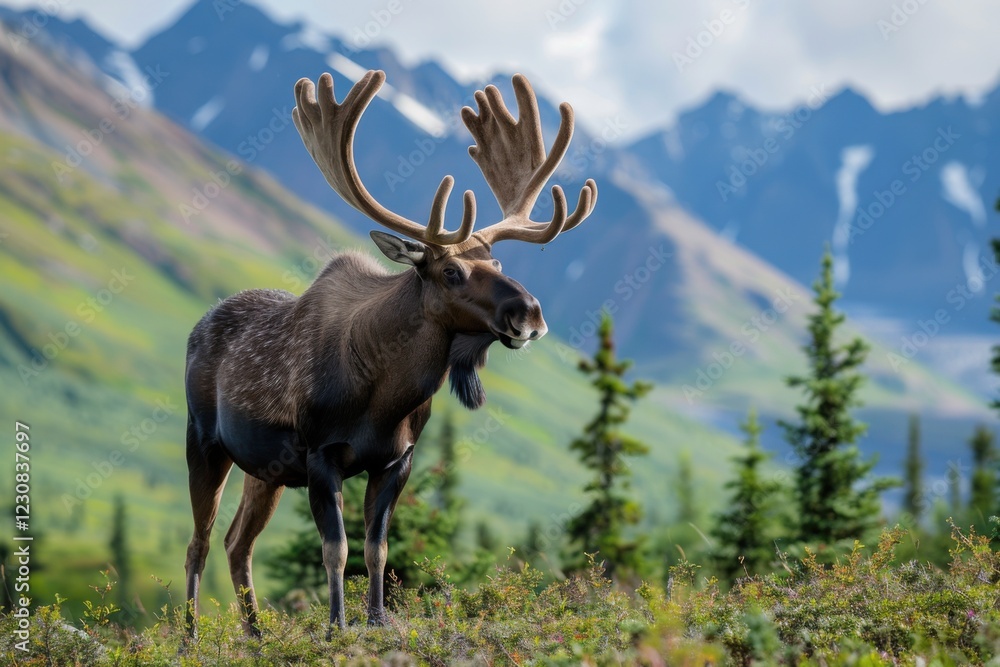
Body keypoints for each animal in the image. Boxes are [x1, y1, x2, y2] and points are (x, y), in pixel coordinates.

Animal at [182, 69, 598, 640]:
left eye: (497, 261)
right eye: (451, 271)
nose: (530, 314)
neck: (384, 398)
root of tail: (196, 328)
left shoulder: (398, 459)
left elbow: (376, 549)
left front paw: (377, 621)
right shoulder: (320, 455)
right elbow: (335, 550)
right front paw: (336, 626)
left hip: (263, 469)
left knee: (236, 542)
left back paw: (257, 633)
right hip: (204, 441)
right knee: (198, 543)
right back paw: (189, 637)